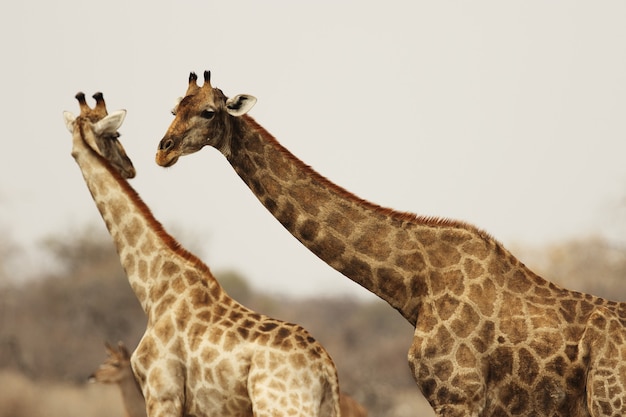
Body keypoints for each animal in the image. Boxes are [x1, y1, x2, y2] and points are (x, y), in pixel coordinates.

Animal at [62, 92, 342, 416]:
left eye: (116, 134)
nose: (129, 167)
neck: (152, 289)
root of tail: (326, 369)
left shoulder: (163, 394)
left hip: (280, 407)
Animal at [155, 70, 624, 414]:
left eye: (209, 112)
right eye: (175, 108)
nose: (163, 150)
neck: (416, 286)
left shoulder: (459, 394)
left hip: (609, 401)